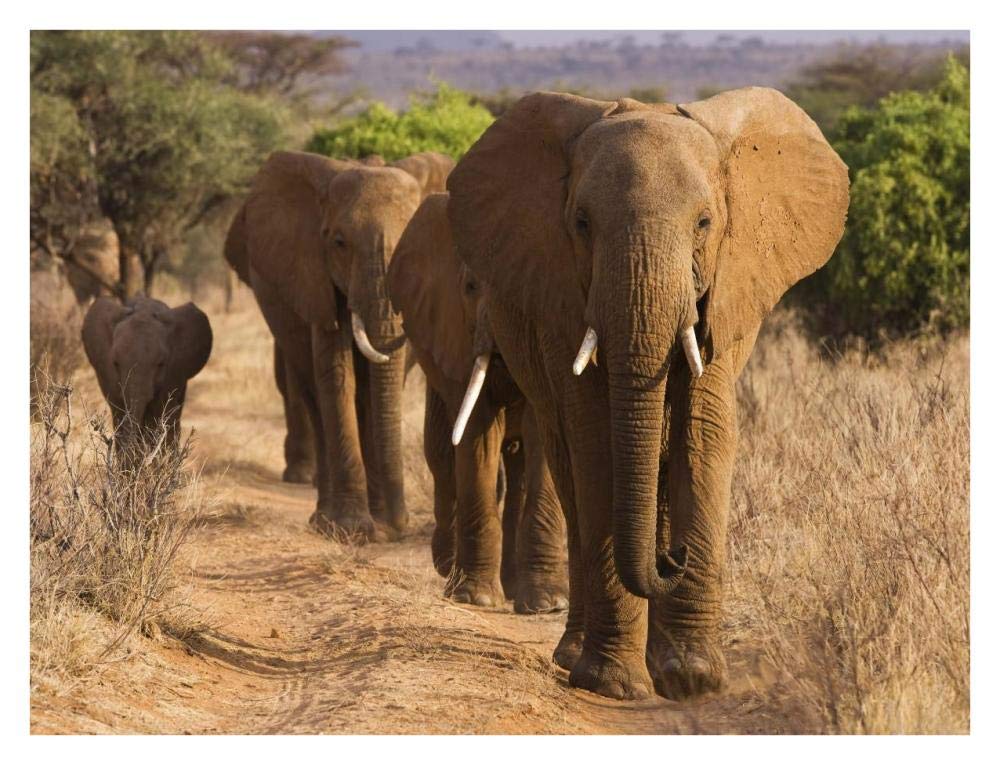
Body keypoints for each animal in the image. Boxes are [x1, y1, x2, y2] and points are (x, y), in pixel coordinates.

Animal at [82, 294, 213, 450]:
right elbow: (119, 410)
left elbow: (159, 412)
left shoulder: (173, 371)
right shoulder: (107, 375)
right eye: (115, 363)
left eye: (161, 364)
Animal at [225, 150, 454, 539]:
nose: (402, 525)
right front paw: (352, 529)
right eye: (339, 243)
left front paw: (380, 527)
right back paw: (323, 519)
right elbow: (337, 377)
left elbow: (379, 385)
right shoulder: (315, 278)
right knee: (314, 396)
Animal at [387, 193, 568, 612]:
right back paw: (447, 567)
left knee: (517, 473)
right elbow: (476, 437)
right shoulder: (453, 330)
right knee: (441, 455)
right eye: (470, 287)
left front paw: (548, 604)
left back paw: (514, 588)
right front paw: (476, 598)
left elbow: (540, 435)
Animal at [446, 88, 848, 700]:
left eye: (705, 222)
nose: (674, 556)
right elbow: (596, 442)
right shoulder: (562, 296)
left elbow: (705, 435)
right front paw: (614, 686)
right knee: (569, 471)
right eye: (581, 224)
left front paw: (691, 680)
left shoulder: (725, 292)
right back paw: (575, 657)